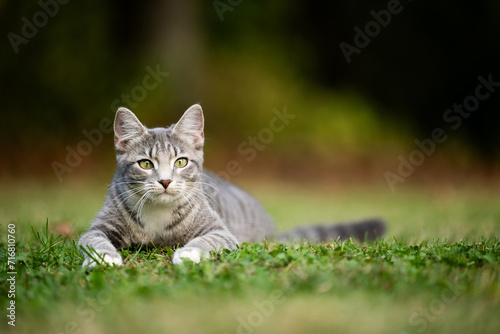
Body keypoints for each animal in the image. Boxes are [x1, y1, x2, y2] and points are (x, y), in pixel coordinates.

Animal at [78, 103, 384, 266]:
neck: (158, 215)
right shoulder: (99, 226)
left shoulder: (221, 232)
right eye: (145, 164)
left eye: (180, 162)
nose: (165, 181)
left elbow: (207, 239)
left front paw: (187, 252)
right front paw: (105, 258)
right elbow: (93, 239)